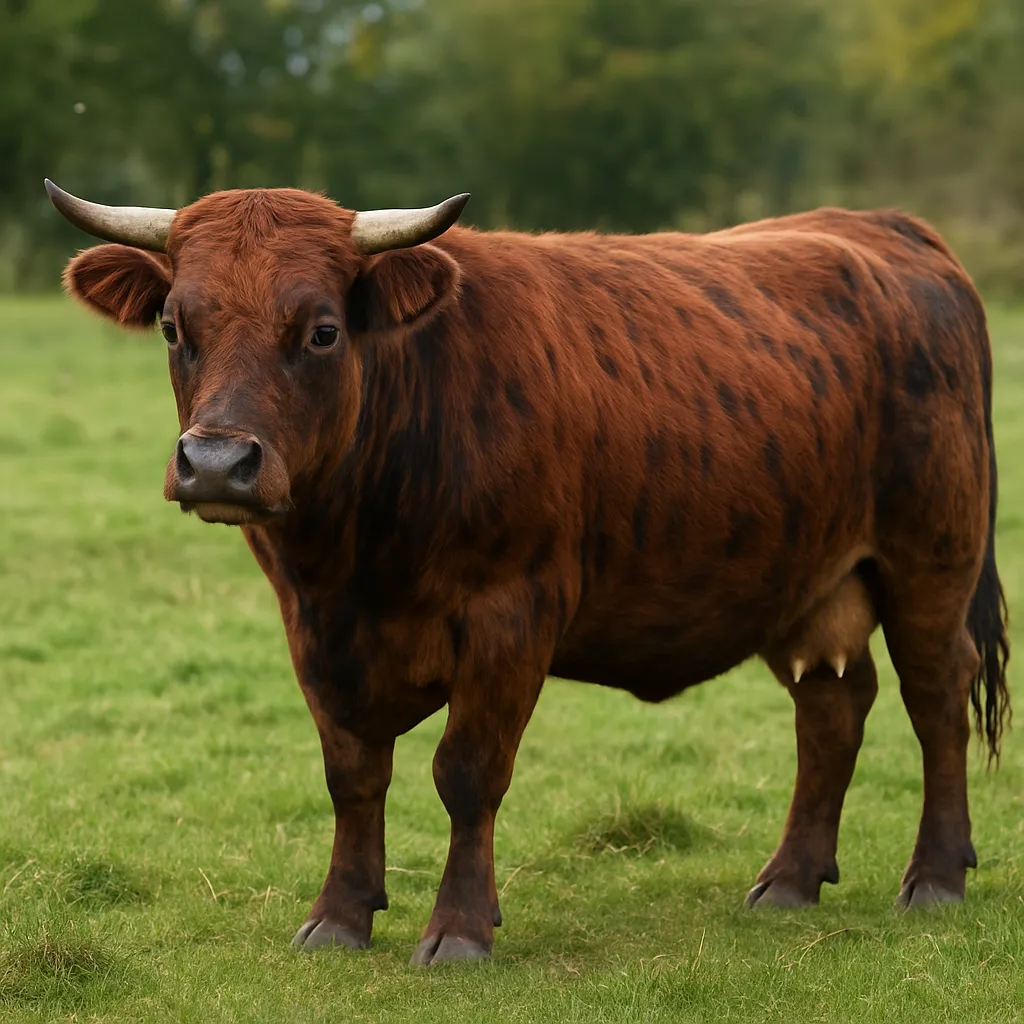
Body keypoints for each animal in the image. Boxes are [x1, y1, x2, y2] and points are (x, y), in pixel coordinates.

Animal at [47, 178, 1009, 965]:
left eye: (321, 329)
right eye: (175, 326)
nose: (215, 463)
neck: (357, 553)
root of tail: (882, 226)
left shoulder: (511, 617)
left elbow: (467, 772)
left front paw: (460, 929)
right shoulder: (313, 629)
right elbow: (352, 773)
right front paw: (340, 917)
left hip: (932, 561)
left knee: (935, 697)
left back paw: (934, 878)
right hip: (802, 576)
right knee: (833, 707)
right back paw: (791, 879)